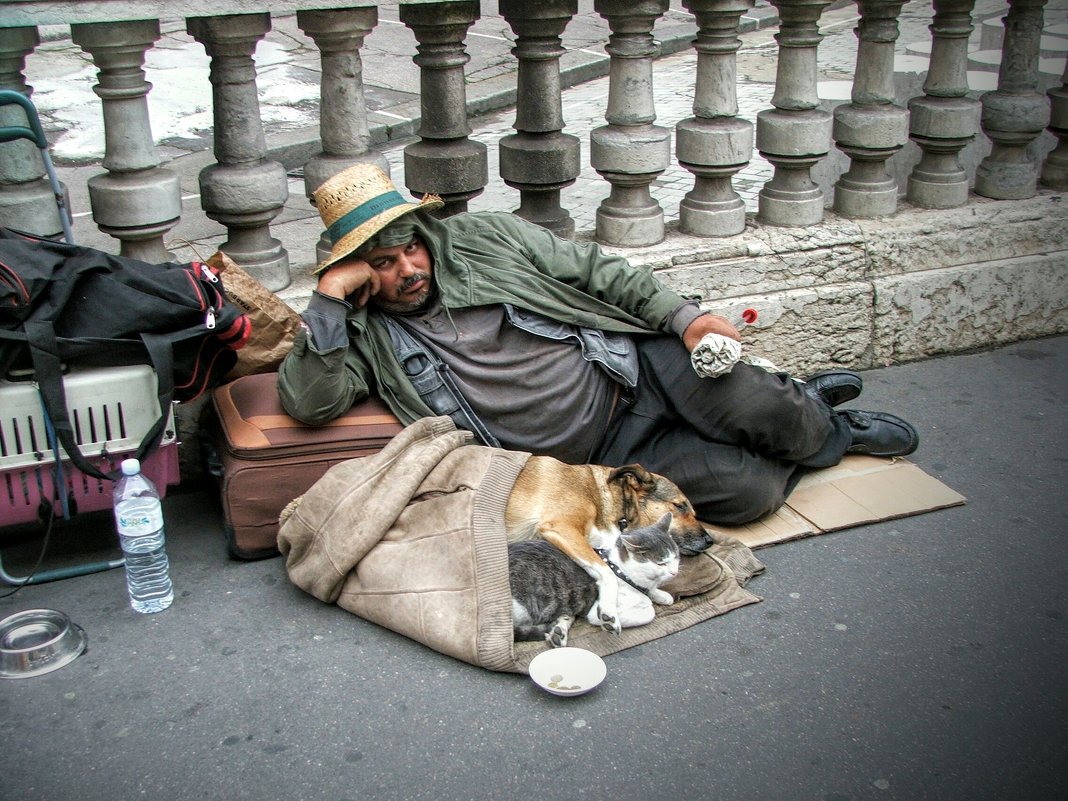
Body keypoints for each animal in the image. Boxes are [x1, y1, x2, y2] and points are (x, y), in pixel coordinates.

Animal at [506, 514, 674, 653]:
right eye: (660, 563)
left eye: (675, 558)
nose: (674, 572)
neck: (619, 569)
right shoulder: (596, 610)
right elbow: (648, 612)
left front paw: (662, 595)